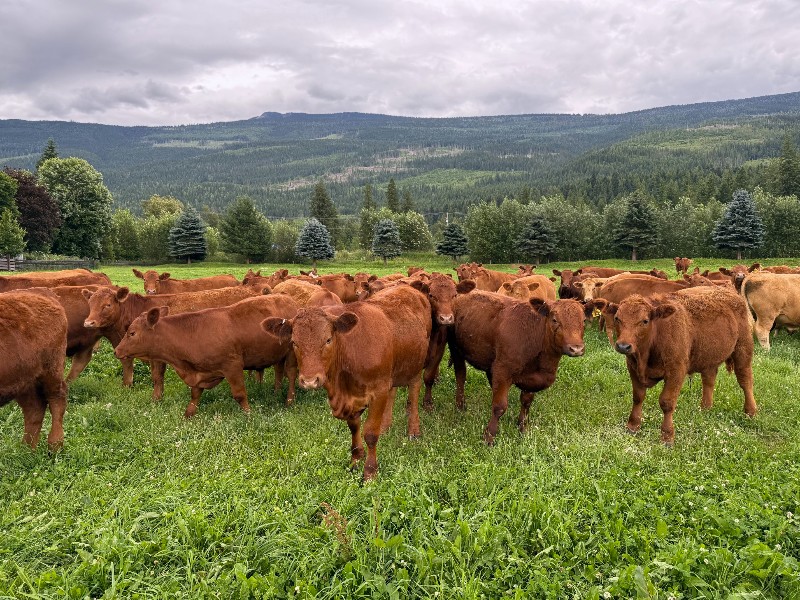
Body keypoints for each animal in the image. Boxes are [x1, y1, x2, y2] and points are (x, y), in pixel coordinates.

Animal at [0, 291, 68, 450]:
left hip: (51, 371)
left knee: (57, 398)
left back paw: (54, 445)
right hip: (24, 381)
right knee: (34, 408)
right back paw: (26, 449)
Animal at [114, 294, 299, 417]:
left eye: (132, 333)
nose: (117, 351)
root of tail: (289, 299)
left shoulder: (232, 366)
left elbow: (239, 394)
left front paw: (248, 414)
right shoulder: (199, 372)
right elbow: (195, 394)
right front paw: (188, 414)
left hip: (292, 353)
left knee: (291, 374)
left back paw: (289, 400)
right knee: (278, 371)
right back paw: (276, 392)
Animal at [262, 284, 432, 480]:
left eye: (328, 339)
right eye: (294, 342)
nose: (310, 380)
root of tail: (408, 287)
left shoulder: (379, 389)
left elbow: (370, 434)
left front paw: (370, 472)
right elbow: (354, 428)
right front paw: (355, 459)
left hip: (416, 365)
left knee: (414, 391)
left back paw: (413, 430)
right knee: (393, 391)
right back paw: (385, 425)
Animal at [450, 291, 600, 445]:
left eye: (583, 321)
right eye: (554, 320)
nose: (576, 349)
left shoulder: (531, 379)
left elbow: (526, 403)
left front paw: (522, 427)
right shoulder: (503, 371)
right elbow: (499, 406)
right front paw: (489, 436)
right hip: (456, 350)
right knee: (460, 375)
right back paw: (460, 405)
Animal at [599, 286, 756, 444]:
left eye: (645, 321)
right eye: (617, 318)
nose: (623, 346)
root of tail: (730, 292)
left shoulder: (676, 371)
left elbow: (667, 402)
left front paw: (667, 436)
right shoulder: (633, 367)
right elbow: (638, 397)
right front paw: (633, 426)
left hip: (743, 349)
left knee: (745, 380)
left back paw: (751, 411)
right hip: (709, 357)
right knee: (709, 380)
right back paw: (705, 408)